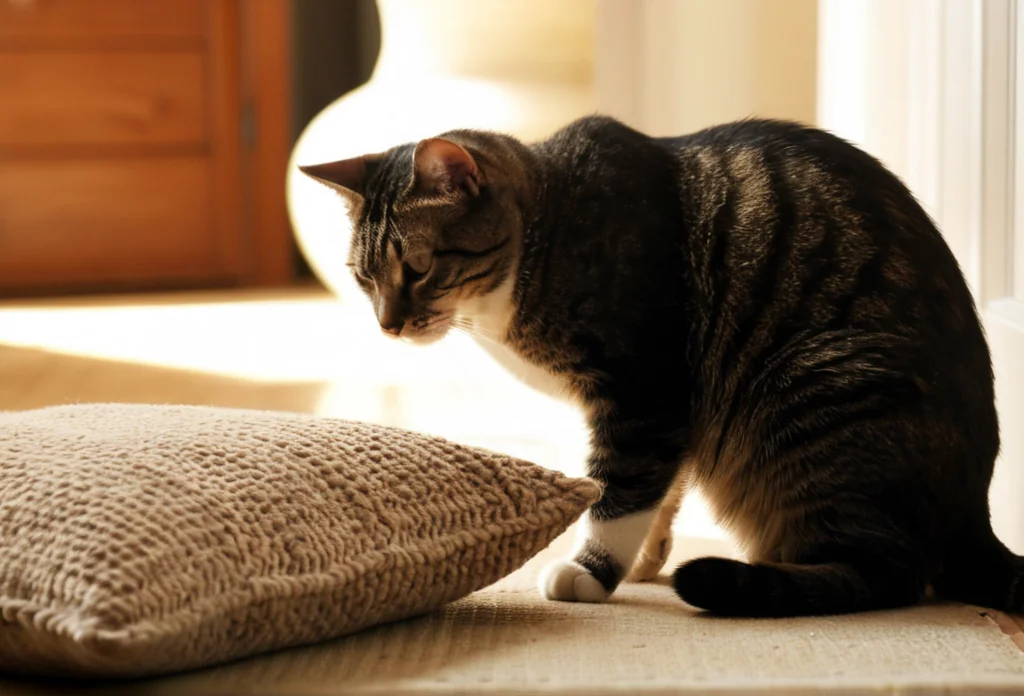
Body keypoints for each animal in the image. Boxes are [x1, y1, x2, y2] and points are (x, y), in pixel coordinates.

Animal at [299, 116, 1019, 618]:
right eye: (364, 278)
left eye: (419, 268)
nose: (388, 324)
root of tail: (975, 515)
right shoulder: (677, 416)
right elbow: (661, 489)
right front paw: (644, 561)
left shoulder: (646, 388)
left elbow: (621, 486)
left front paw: (590, 571)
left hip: (818, 387)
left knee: (885, 572)